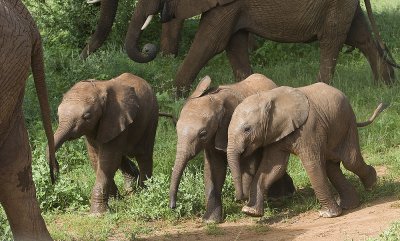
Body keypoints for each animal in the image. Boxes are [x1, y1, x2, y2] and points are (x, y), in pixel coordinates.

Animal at [49, 72, 157, 214]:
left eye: (87, 117)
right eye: (58, 114)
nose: (55, 175)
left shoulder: (115, 118)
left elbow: (107, 162)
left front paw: (98, 214)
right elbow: (96, 160)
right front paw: (115, 201)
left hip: (151, 118)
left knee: (143, 155)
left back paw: (144, 192)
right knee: (122, 157)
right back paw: (131, 187)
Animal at [124, 0, 396, 95]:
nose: (149, 48)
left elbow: (211, 42)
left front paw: (177, 98)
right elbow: (233, 45)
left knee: (331, 40)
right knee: (360, 37)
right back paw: (385, 87)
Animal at [167, 73, 296, 222]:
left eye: (203, 134)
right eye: (176, 129)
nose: (173, 206)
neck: (217, 101)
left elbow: (248, 161)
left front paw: (245, 200)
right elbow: (214, 169)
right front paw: (210, 220)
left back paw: (279, 197)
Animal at [227, 83, 386, 218]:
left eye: (247, 129)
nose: (240, 198)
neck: (267, 97)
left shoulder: (309, 128)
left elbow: (312, 164)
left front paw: (327, 214)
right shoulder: (274, 134)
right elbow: (271, 168)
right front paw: (250, 212)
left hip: (346, 123)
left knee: (349, 161)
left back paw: (372, 184)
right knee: (332, 166)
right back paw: (350, 205)